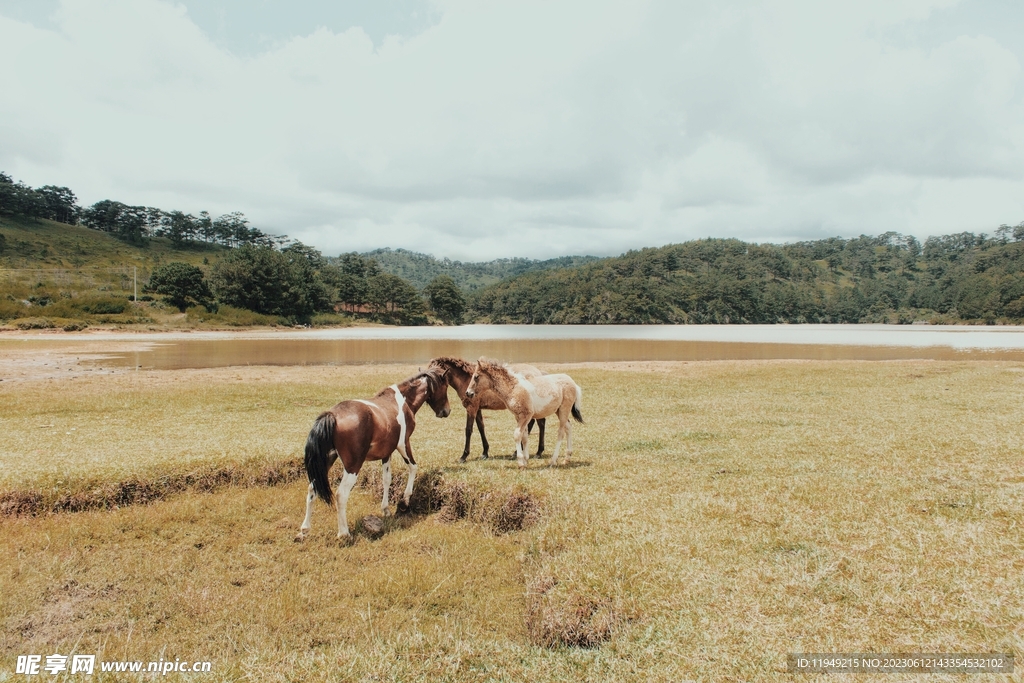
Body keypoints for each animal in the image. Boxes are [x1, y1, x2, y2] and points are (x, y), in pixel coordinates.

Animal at [296, 368, 451, 540]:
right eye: (446, 386)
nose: (446, 411)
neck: (403, 401)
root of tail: (332, 415)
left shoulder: (387, 452)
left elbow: (387, 479)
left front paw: (386, 509)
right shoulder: (403, 444)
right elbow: (413, 468)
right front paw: (404, 502)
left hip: (327, 461)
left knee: (312, 488)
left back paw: (305, 529)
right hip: (353, 466)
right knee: (341, 494)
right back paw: (344, 533)